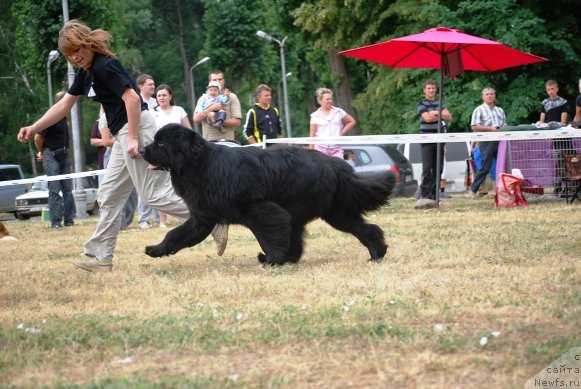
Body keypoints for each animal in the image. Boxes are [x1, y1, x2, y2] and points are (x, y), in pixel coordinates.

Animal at [142, 123, 394, 264]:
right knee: (366, 228)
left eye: (161, 144)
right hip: (335, 212)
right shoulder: (202, 217)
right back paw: (377, 252)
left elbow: (269, 237)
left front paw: (272, 259)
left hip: (325, 210)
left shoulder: (260, 209)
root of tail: (336, 165)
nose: (142, 150)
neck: (200, 165)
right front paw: (156, 250)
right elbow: (176, 234)